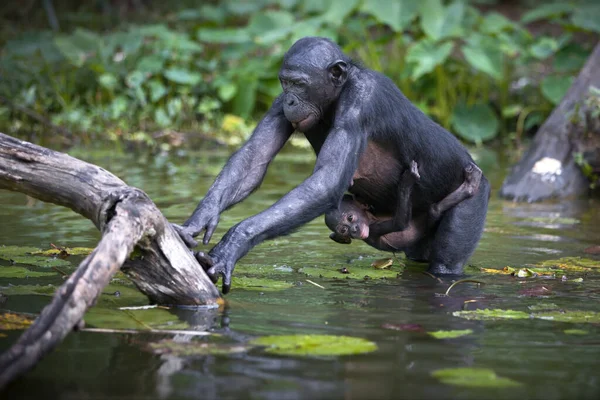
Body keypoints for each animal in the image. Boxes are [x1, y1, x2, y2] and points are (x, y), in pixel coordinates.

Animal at [176, 36, 490, 294]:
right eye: (285, 83)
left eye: (300, 83)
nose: (291, 99)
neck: (337, 93)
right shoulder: (277, 104)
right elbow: (255, 158)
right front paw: (198, 221)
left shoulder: (362, 99)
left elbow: (327, 181)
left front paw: (232, 244)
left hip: (475, 193)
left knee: (446, 262)